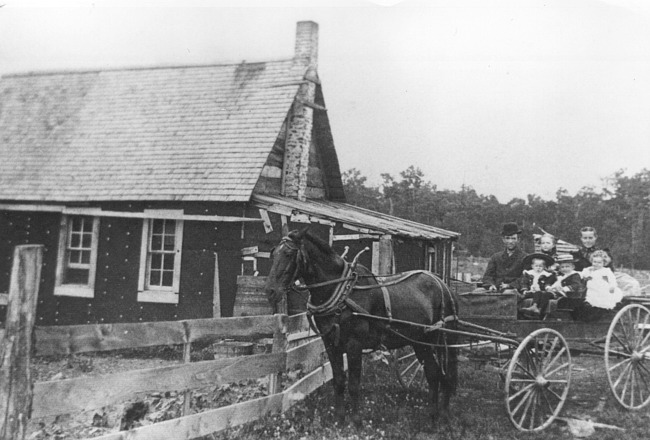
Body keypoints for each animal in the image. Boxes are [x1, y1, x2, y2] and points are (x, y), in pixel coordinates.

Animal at [260, 225, 458, 424]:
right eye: (273, 253)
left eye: (288, 254)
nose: (270, 291)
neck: (343, 294)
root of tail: (441, 284)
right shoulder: (331, 344)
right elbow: (339, 381)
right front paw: (340, 419)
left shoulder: (354, 345)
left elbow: (354, 384)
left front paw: (356, 421)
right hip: (420, 342)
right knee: (434, 374)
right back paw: (434, 415)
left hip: (436, 341)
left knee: (442, 375)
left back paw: (441, 416)